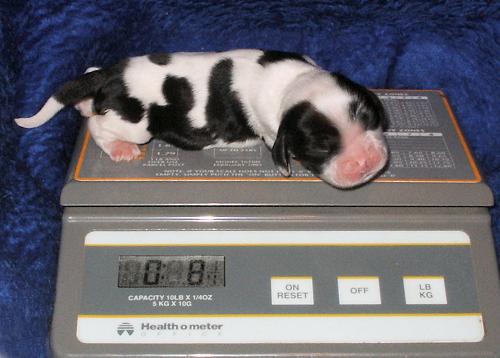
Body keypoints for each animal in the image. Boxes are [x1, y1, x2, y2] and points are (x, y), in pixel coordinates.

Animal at [13, 49, 388, 189]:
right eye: (321, 147)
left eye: (369, 118)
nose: (367, 161)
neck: (293, 81)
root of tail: (113, 75)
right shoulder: (272, 130)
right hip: (135, 125)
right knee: (99, 125)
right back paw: (119, 149)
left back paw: (84, 102)